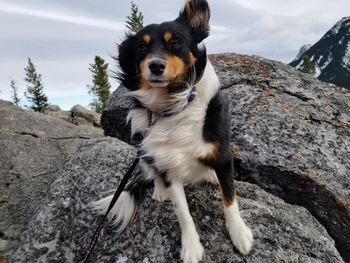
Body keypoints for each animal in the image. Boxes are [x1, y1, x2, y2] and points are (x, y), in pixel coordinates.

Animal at [92, 1, 252, 262]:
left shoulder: (222, 154)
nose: (156, 65)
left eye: (174, 42)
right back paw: (159, 191)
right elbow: (183, 213)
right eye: (142, 46)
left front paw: (239, 234)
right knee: (150, 171)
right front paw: (191, 247)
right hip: (143, 151)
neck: (173, 106)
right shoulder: (168, 166)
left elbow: (229, 198)